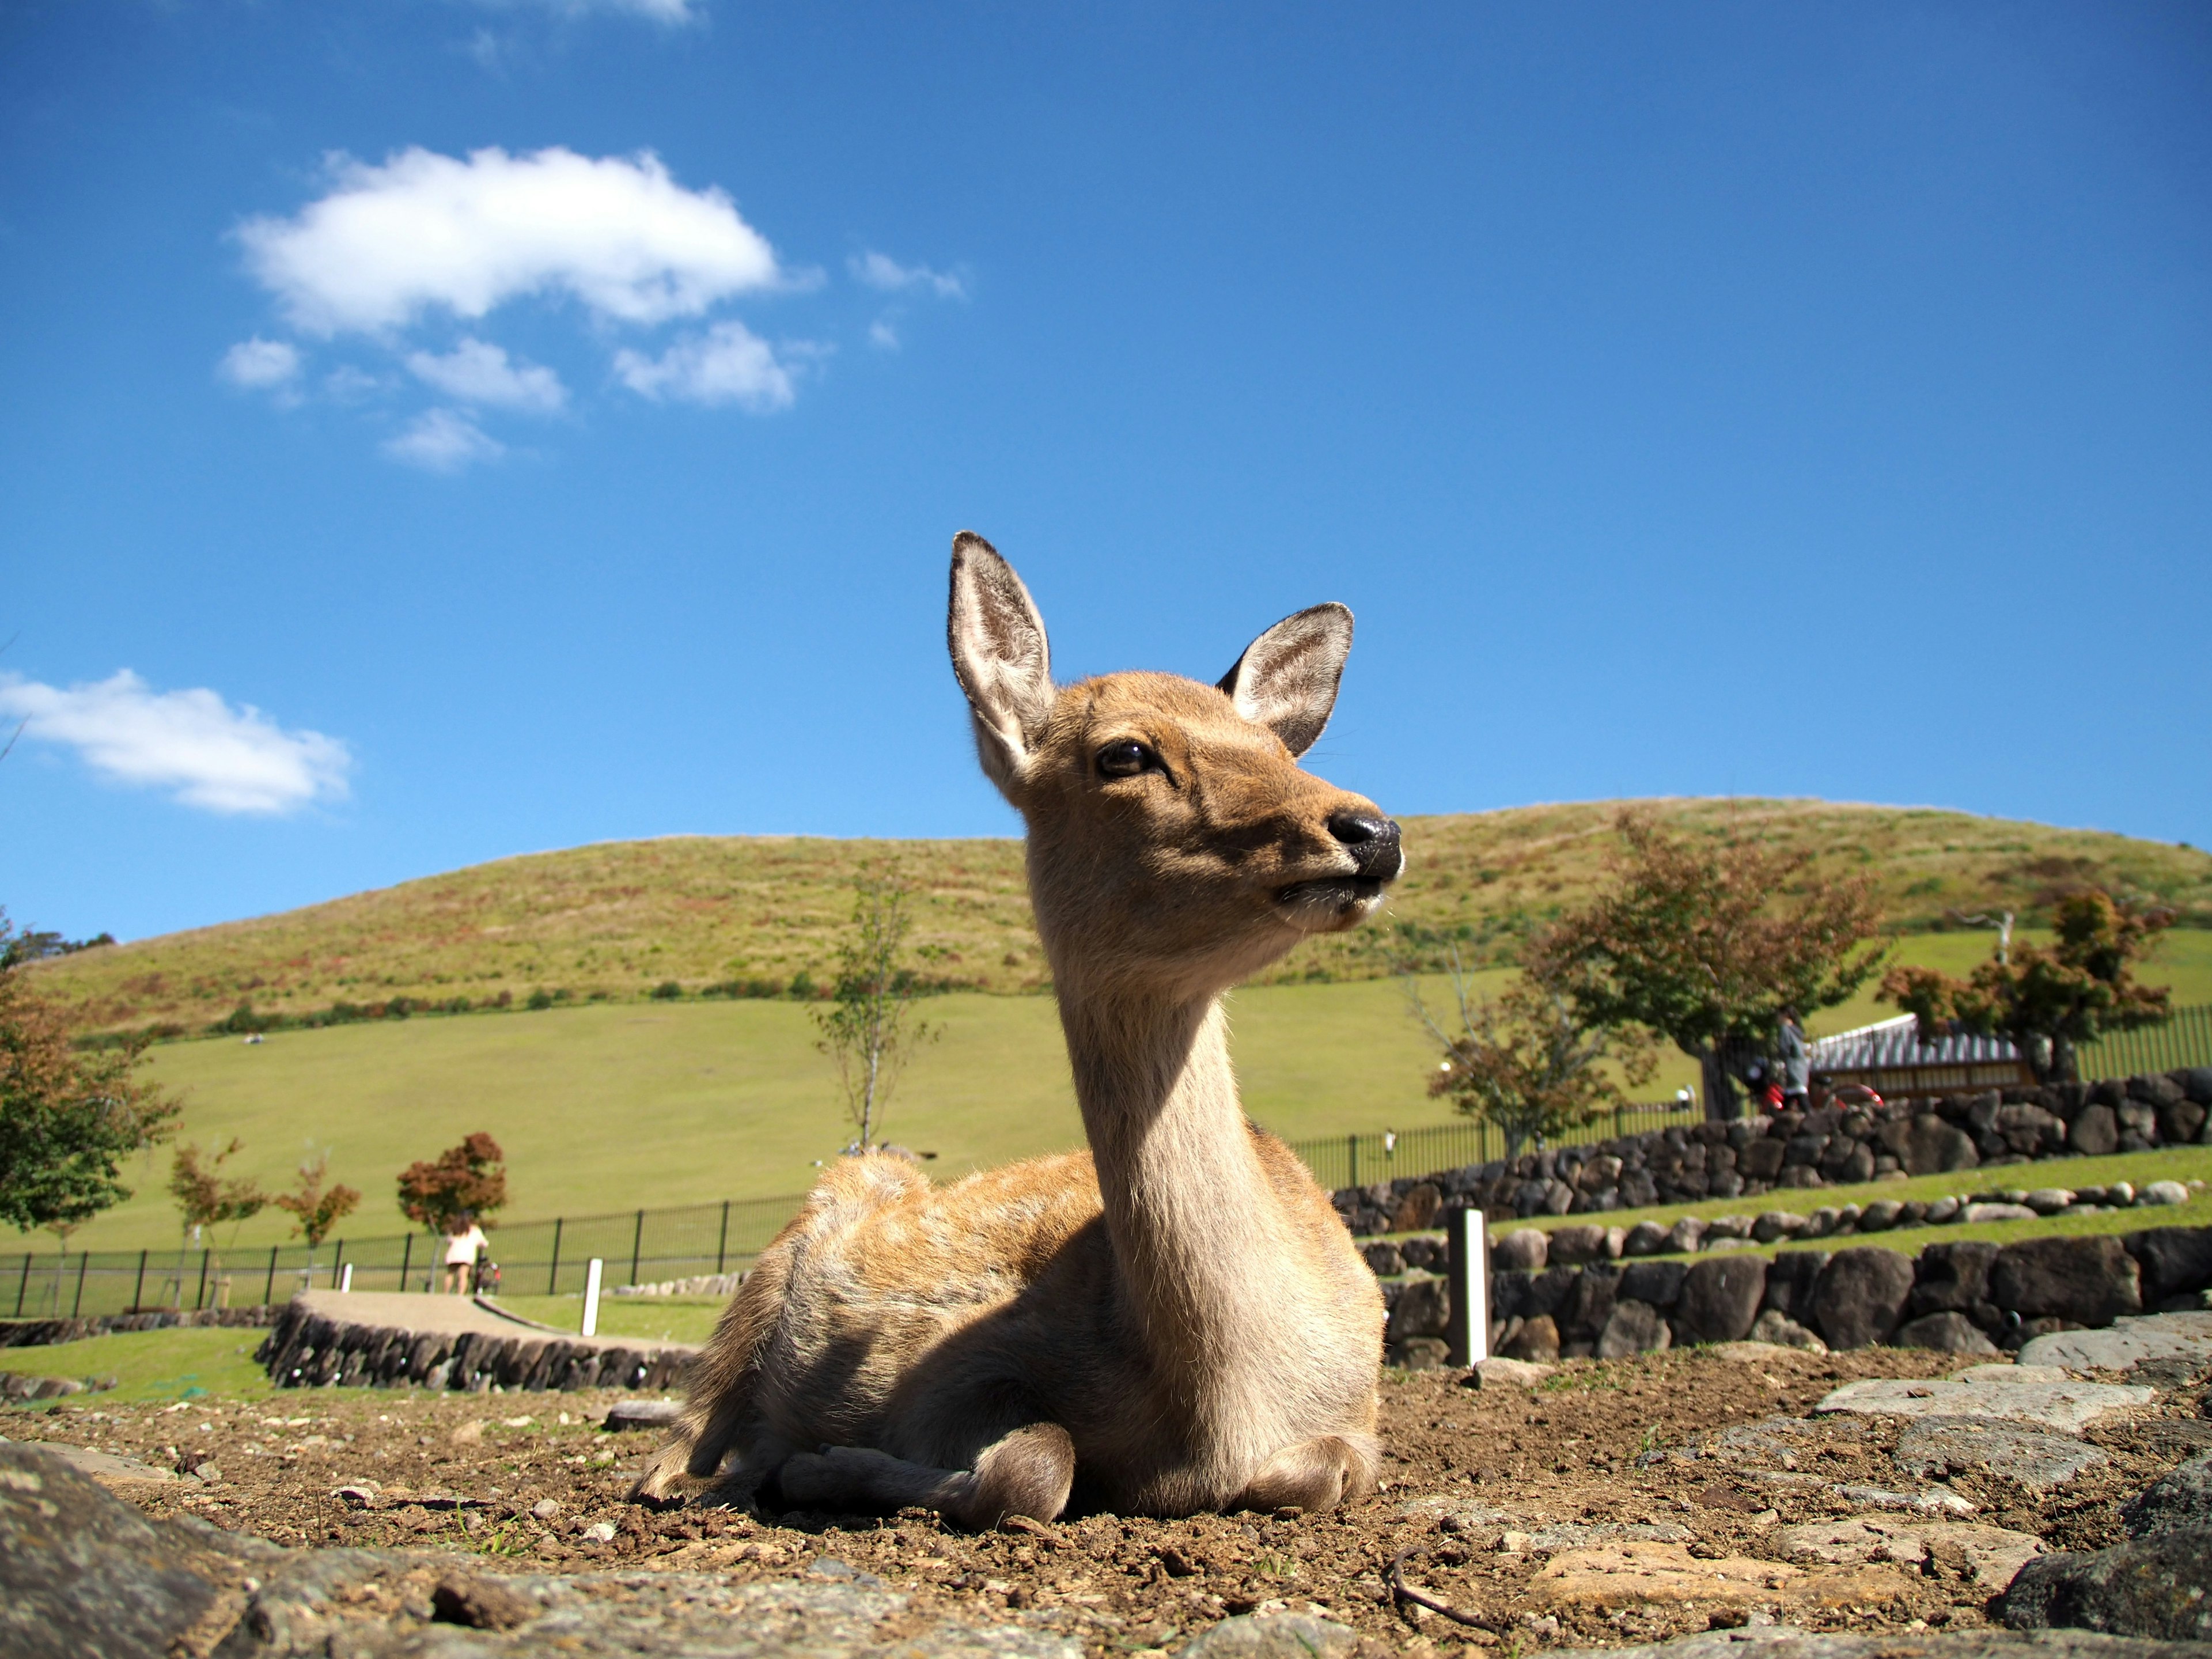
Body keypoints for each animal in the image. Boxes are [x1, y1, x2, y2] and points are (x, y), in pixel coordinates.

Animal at [632, 535, 1407, 1531]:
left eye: (1279, 748)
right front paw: (821, 1466)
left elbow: (1319, 1472)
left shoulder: (1363, 1410)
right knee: (692, 1418)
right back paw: (711, 1470)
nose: (1372, 830)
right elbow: (1040, 1463)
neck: (1219, 1408)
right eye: (1126, 753)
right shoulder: (949, 1371)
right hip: (786, 1245)